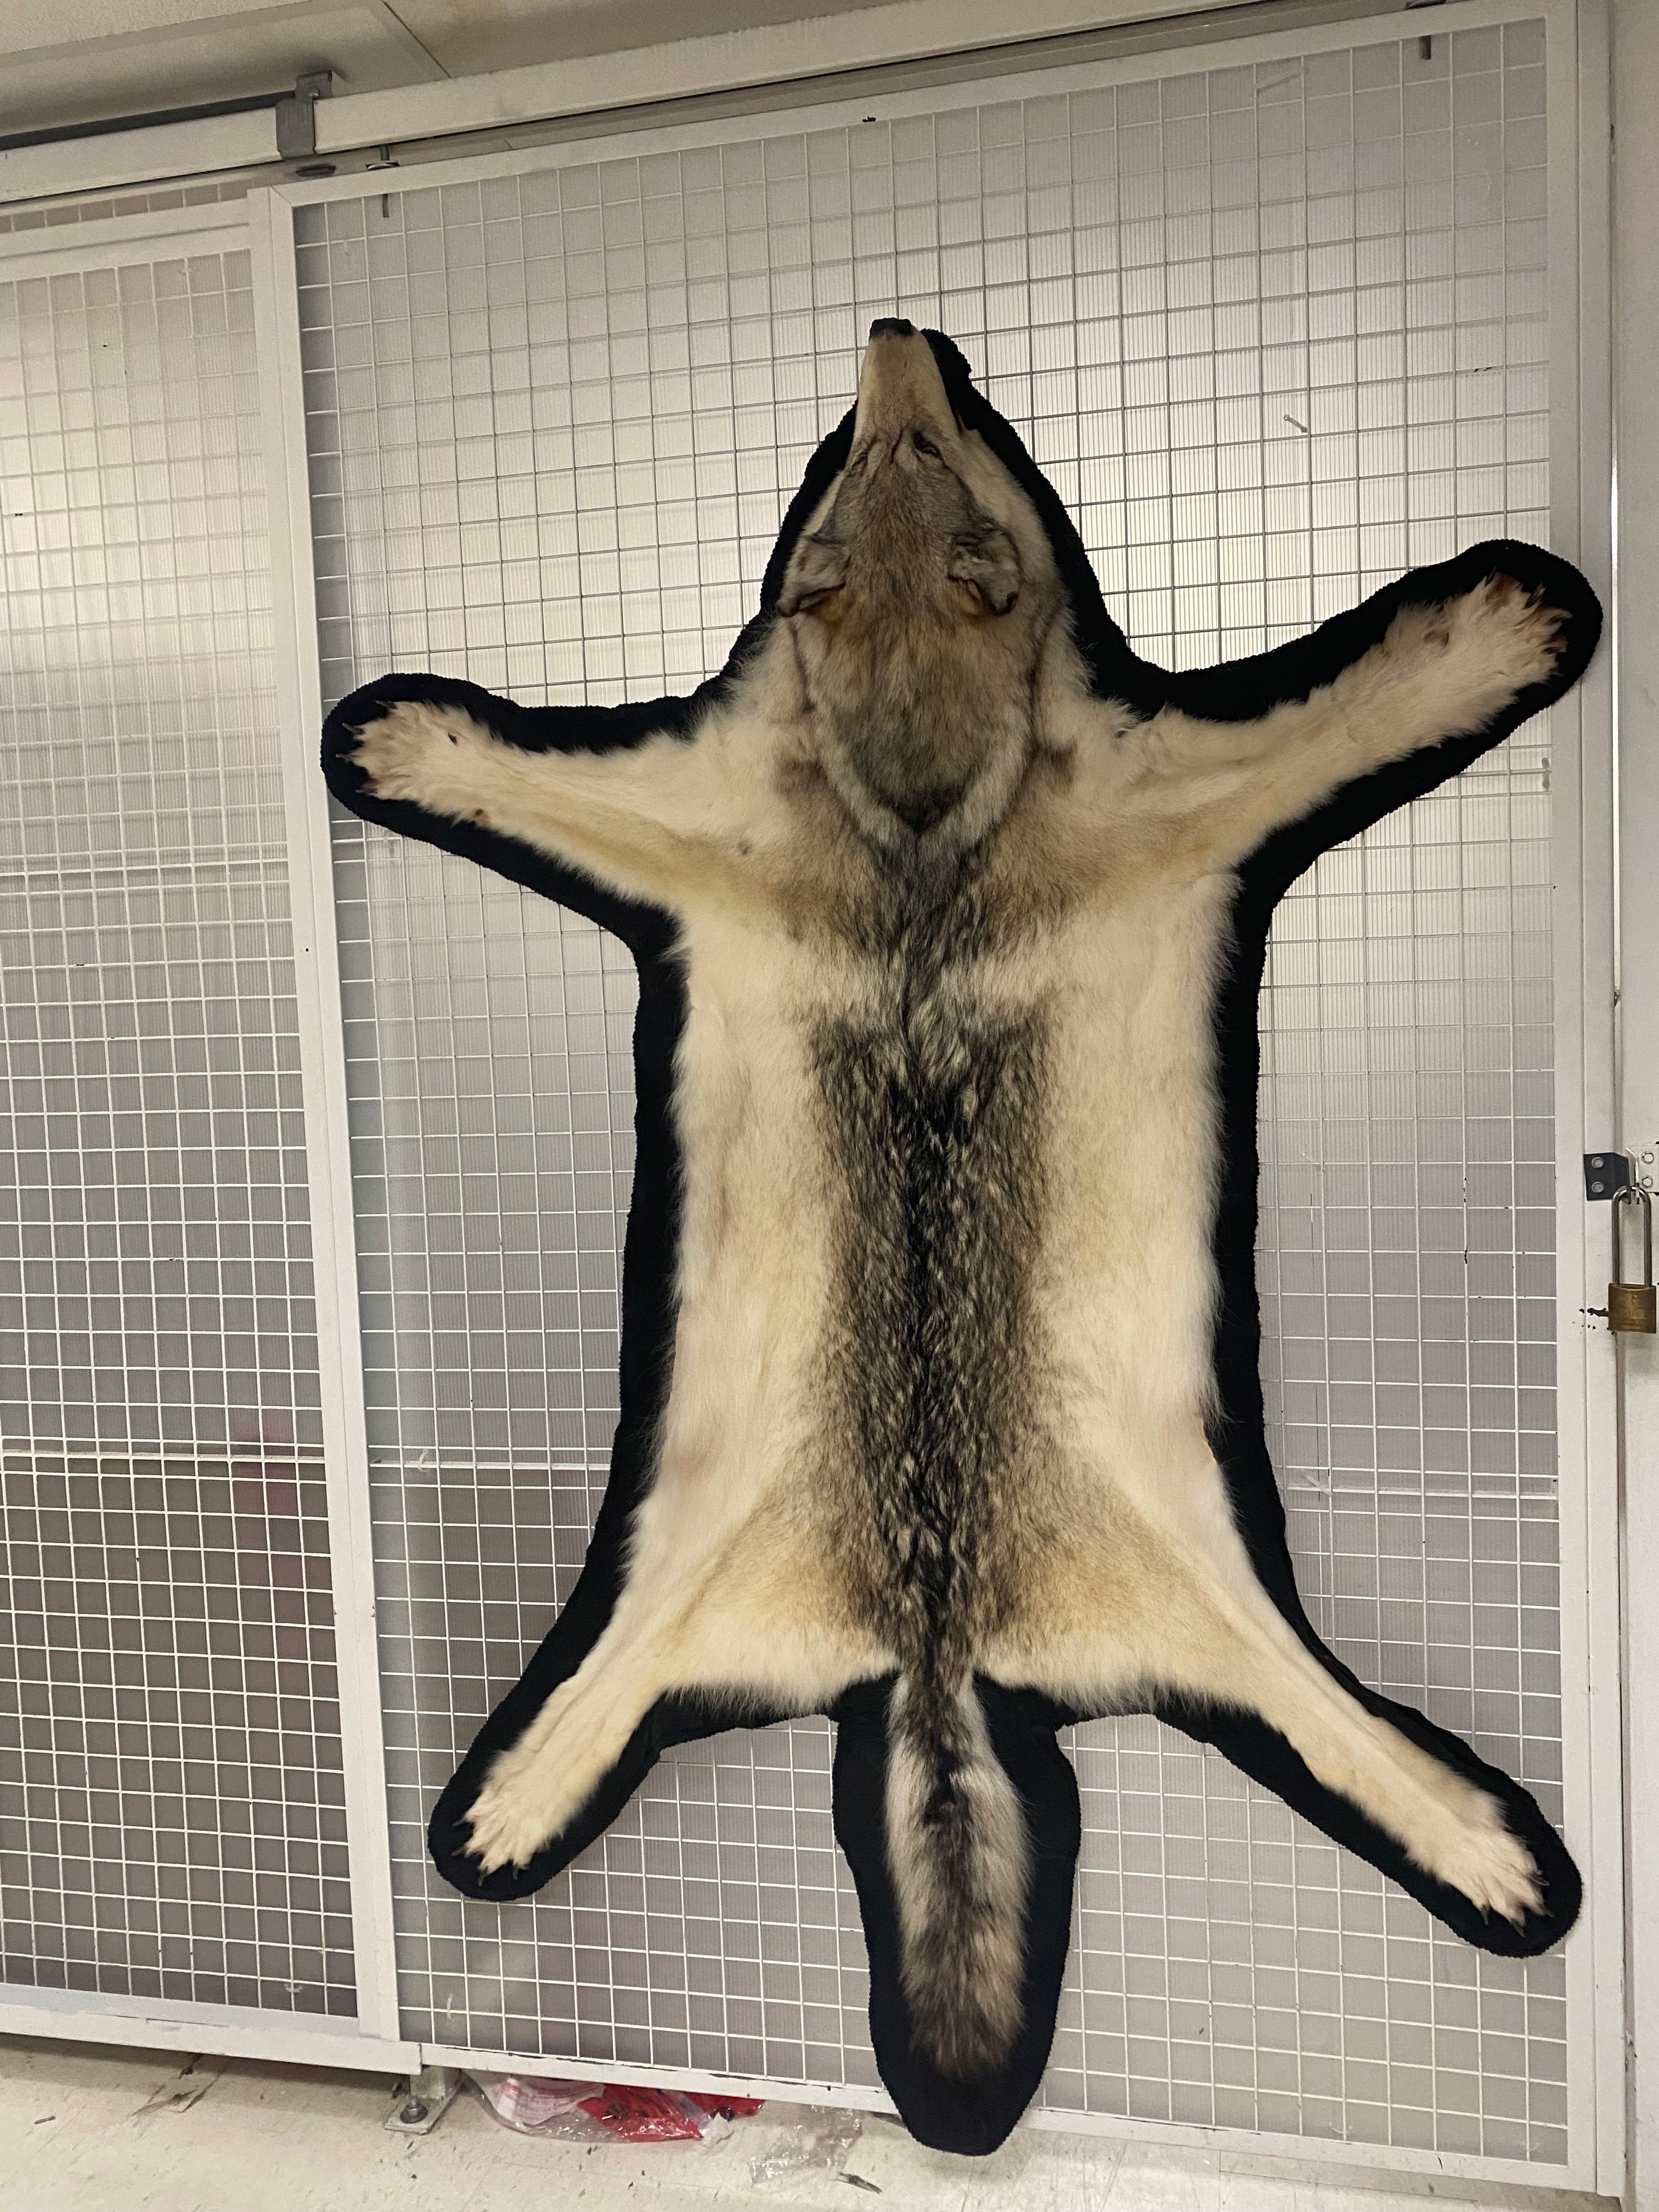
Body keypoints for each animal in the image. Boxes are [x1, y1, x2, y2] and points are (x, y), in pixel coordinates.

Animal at [322, 322, 1601, 2154]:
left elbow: (1357, 704)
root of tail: (933, 1646)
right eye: (851, 478)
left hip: (1209, 1599)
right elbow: (523, 779)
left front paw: (1503, 626)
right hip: (677, 1586)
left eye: (932, 459)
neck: (921, 813)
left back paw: (1488, 1849)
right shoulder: (701, 830)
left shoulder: (1189, 795)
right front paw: (405, 747)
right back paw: (510, 1805)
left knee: (1328, 1727)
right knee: (596, 1697)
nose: (894, 339)